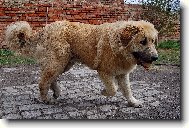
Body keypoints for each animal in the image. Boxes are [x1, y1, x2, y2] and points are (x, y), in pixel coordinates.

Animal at [5, 20, 158, 107]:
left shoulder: (122, 74)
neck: (119, 45)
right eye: (143, 41)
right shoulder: (104, 72)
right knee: (43, 81)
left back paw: (56, 92)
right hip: (58, 62)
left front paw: (133, 102)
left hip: (64, 64)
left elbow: (127, 90)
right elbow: (113, 89)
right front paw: (103, 92)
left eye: (153, 41)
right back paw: (46, 99)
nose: (155, 57)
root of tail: (45, 29)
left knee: (49, 77)